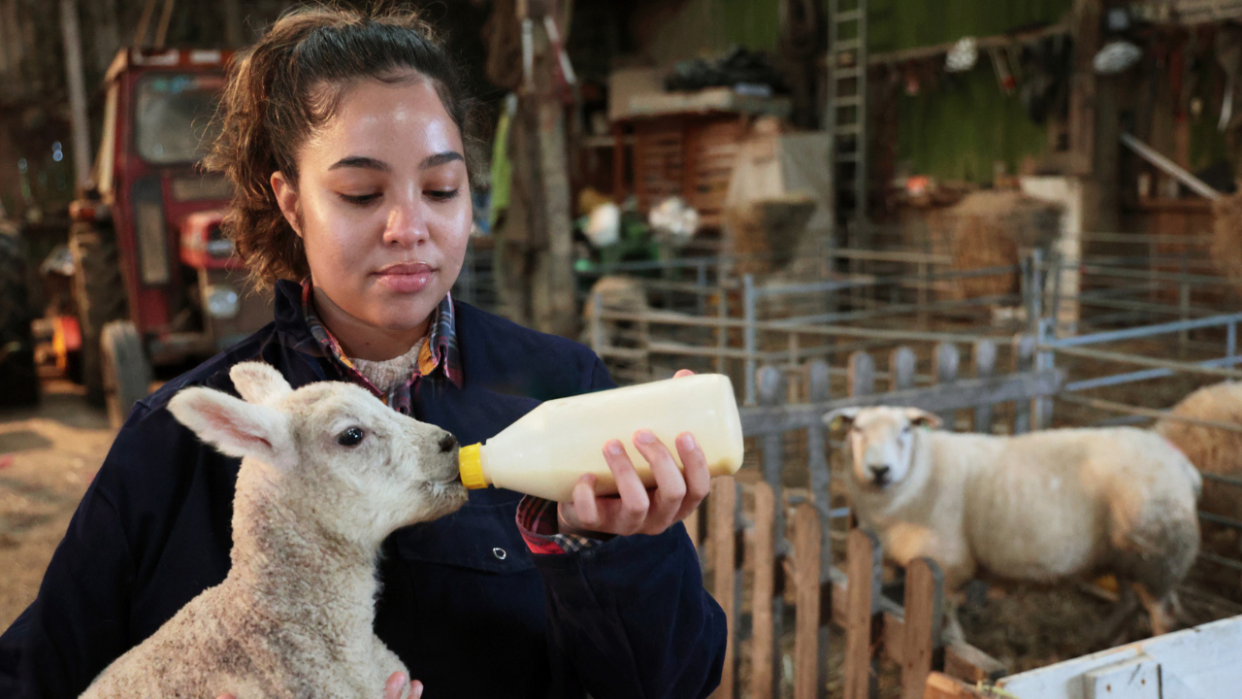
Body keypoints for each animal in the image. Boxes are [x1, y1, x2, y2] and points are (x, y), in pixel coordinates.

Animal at [824, 404, 1202, 640]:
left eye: (905, 429)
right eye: (856, 429)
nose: (879, 470)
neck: (921, 474)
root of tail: (1182, 465)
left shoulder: (948, 563)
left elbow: (946, 614)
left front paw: (955, 644)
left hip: (1159, 558)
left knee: (1163, 614)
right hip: (1127, 554)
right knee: (1129, 602)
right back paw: (1105, 638)